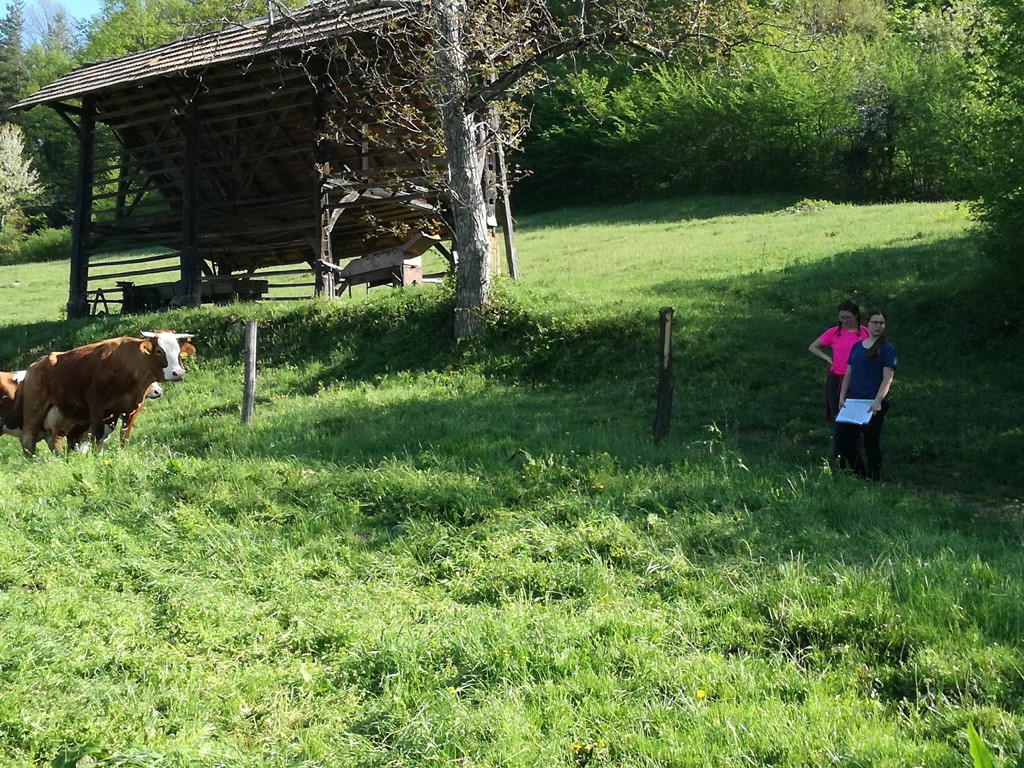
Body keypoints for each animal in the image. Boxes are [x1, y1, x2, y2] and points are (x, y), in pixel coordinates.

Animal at [15, 331, 195, 456]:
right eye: (159, 351)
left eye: (178, 352)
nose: (178, 373)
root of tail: (35, 364)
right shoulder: (96, 403)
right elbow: (98, 434)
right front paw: (96, 456)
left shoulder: (133, 407)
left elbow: (124, 434)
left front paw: (121, 454)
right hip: (34, 408)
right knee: (28, 440)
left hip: (65, 415)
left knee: (56, 438)